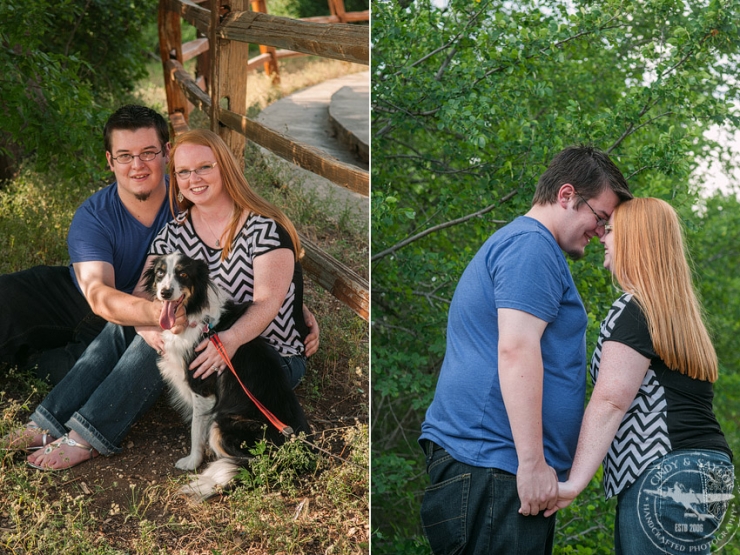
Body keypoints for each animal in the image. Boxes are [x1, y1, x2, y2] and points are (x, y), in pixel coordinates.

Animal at [143, 253, 310, 504]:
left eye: (183, 274)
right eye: (160, 273)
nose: (165, 292)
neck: (197, 316)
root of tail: (292, 458)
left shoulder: (203, 388)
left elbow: (196, 430)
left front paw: (192, 461)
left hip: (221, 425)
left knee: (246, 462)